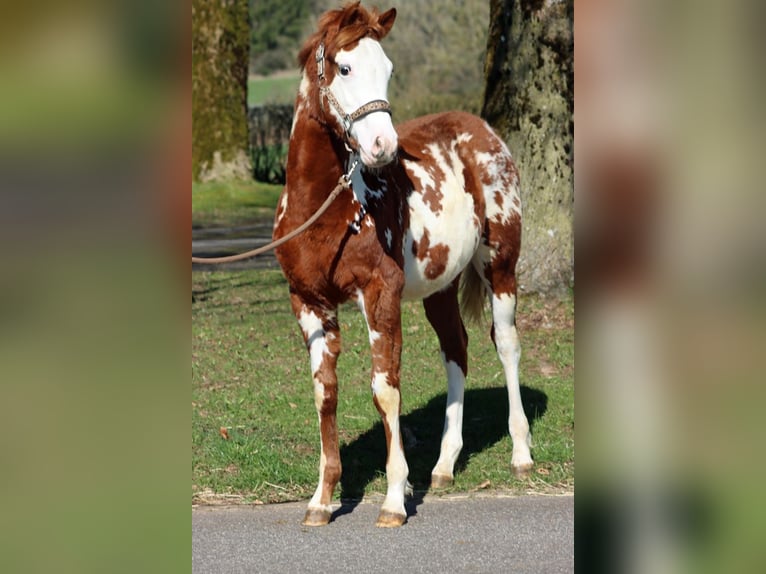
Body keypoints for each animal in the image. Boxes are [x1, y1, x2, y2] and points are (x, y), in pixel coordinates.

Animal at [273, 2, 532, 528]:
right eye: (344, 68)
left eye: (389, 69)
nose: (383, 147)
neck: (323, 209)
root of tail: (483, 131)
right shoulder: (308, 303)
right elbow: (325, 392)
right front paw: (321, 500)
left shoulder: (380, 293)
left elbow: (385, 390)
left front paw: (394, 500)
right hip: (439, 287)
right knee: (456, 351)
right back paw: (444, 466)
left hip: (500, 267)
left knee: (507, 345)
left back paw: (521, 454)